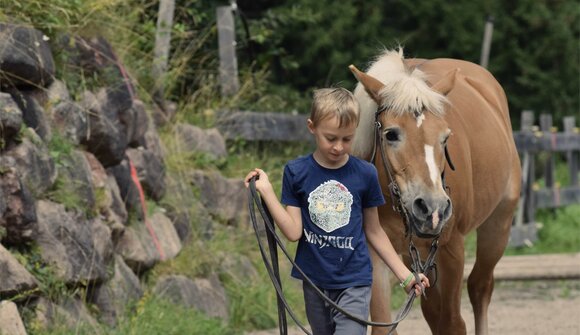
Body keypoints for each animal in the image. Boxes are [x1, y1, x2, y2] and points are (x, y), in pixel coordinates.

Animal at [348, 48, 520, 335]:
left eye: (445, 137)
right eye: (391, 134)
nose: (433, 208)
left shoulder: (451, 249)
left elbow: (453, 323)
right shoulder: (377, 252)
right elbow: (384, 324)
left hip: (498, 225)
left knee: (480, 287)